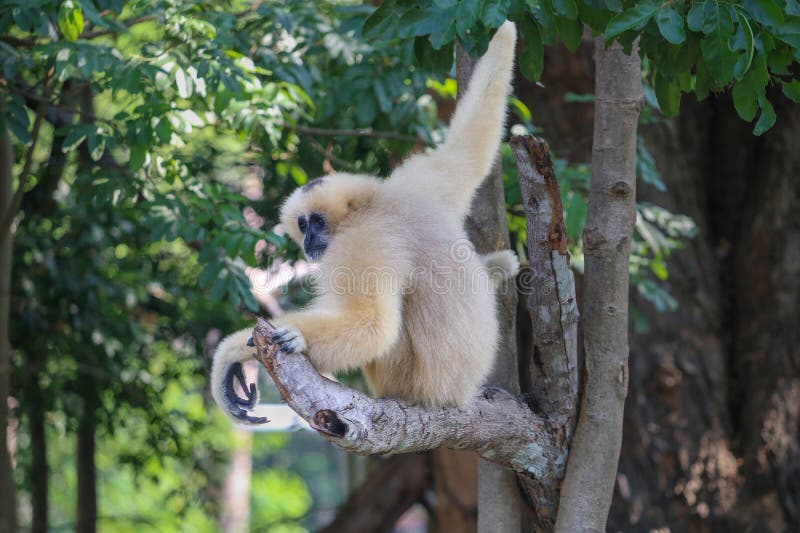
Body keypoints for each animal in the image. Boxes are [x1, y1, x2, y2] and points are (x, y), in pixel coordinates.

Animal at [212, 22, 518, 424]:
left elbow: (372, 324)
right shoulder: (420, 182)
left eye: (317, 222)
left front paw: (236, 350)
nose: (308, 240)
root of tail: (455, 396)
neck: (373, 202)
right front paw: (505, 36)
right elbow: (469, 148)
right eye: (303, 224)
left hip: (402, 379)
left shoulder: (361, 243)